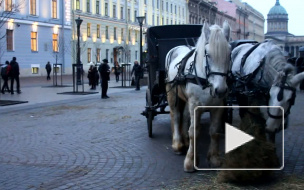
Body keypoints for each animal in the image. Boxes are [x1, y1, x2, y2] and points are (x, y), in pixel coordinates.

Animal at [166, 21, 230, 172]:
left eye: (229, 54)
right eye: (208, 54)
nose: (220, 90)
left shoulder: (218, 106)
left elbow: (214, 131)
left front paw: (214, 158)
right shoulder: (195, 105)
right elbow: (194, 131)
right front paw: (190, 161)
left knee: (184, 116)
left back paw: (184, 141)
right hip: (172, 94)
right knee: (176, 115)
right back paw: (178, 144)